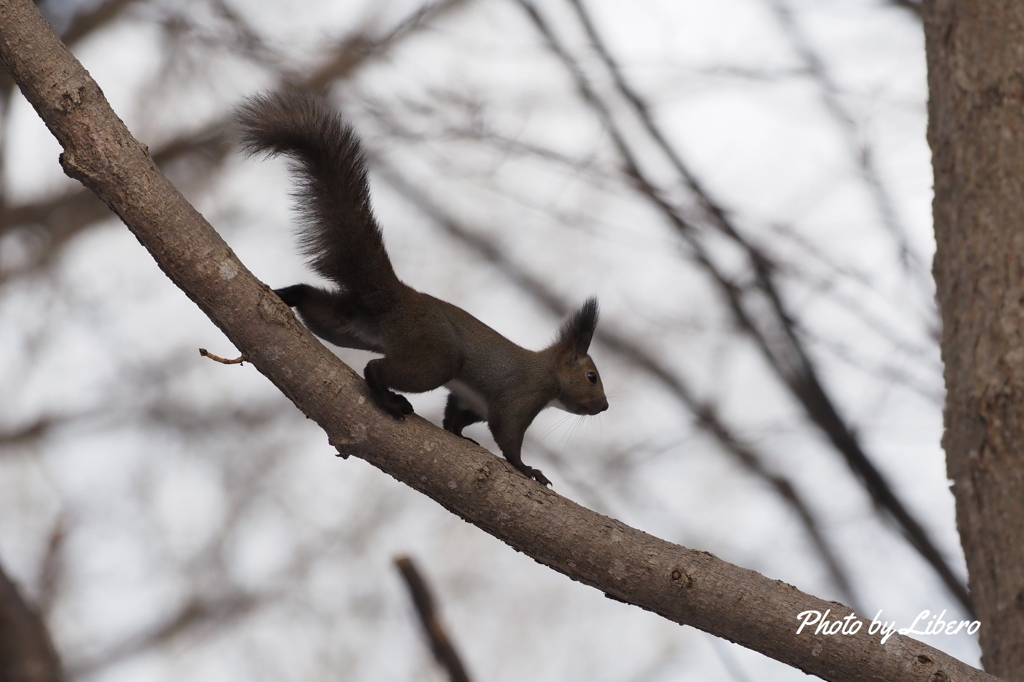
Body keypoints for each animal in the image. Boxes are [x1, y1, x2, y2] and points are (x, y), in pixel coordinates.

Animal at [235, 91, 606, 483]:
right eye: (591, 376)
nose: (605, 406)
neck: (547, 372)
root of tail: (400, 297)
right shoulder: (519, 398)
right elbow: (508, 437)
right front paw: (528, 469)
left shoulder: (470, 400)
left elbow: (454, 420)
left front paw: (462, 437)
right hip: (434, 356)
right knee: (376, 369)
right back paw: (390, 400)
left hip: (353, 326)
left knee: (318, 305)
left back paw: (284, 295)